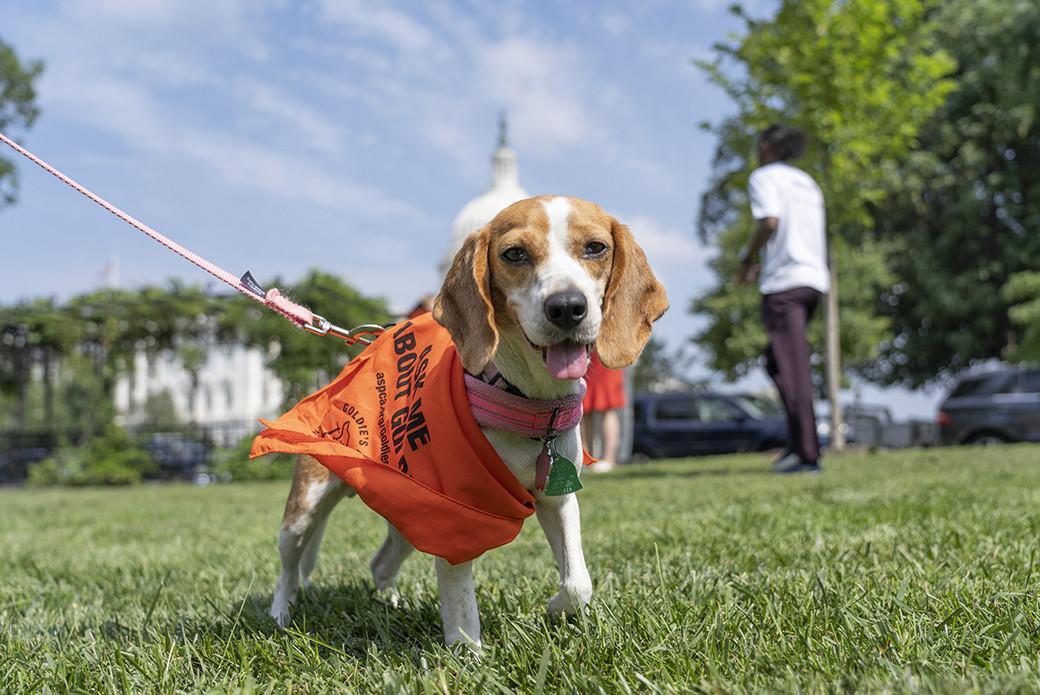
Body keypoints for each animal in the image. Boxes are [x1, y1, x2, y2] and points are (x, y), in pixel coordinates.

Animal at [270, 196, 665, 653]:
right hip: (303, 512)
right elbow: (461, 605)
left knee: (380, 564)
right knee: (287, 570)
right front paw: (468, 658)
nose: (567, 306)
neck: (526, 400)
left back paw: (390, 604)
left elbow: (578, 583)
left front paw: (555, 608)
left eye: (596, 247)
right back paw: (280, 615)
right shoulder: (454, 517)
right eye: (514, 254)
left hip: (408, 516)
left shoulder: (558, 499)